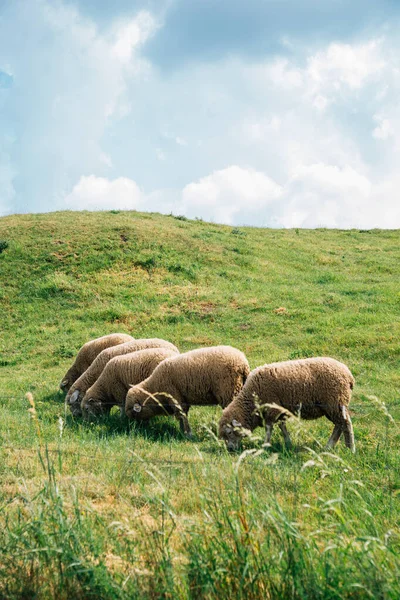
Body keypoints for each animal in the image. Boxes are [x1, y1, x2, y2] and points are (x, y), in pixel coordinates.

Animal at [220, 356, 354, 450]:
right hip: (334, 406)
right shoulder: (280, 410)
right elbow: (282, 426)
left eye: (229, 432)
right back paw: (330, 447)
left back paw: (350, 449)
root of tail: (348, 375)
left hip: (335, 403)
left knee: (346, 424)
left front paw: (265, 445)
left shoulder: (271, 409)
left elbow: (269, 428)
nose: (230, 449)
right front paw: (288, 443)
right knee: (339, 425)